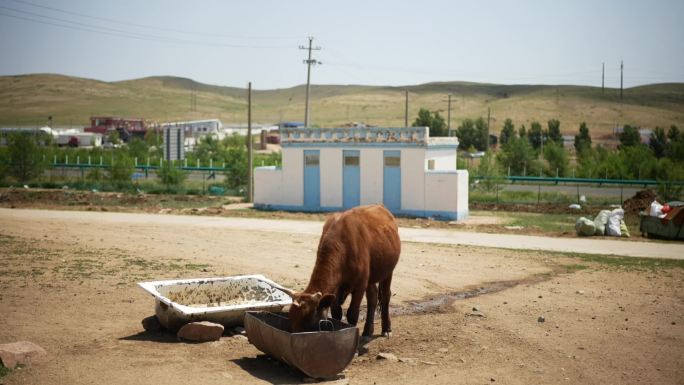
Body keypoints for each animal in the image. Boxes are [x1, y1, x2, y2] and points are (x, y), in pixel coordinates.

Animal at [280, 204, 400, 336]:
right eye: (291, 318)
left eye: (308, 322)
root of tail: (381, 206)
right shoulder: (337, 288)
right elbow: (336, 312)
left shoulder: (360, 285)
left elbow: (352, 314)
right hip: (371, 277)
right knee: (372, 297)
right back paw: (368, 330)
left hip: (388, 272)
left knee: (385, 295)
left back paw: (386, 329)